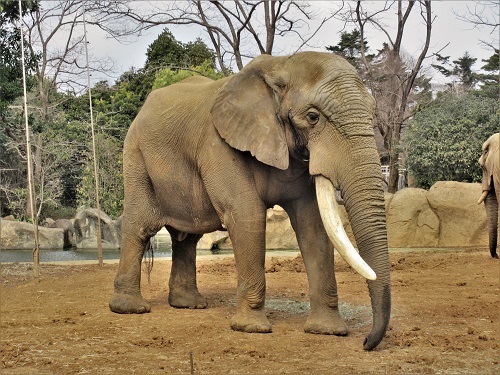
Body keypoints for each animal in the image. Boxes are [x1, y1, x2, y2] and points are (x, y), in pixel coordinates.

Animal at [108, 51, 390, 352]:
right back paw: (130, 308)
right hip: (136, 156)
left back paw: (189, 305)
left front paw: (328, 331)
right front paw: (252, 328)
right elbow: (246, 214)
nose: (366, 343)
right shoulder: (218, 144)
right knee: (140, 226)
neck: (281, 64)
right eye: (313, 117)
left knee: (187, 238)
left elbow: (312, 223)